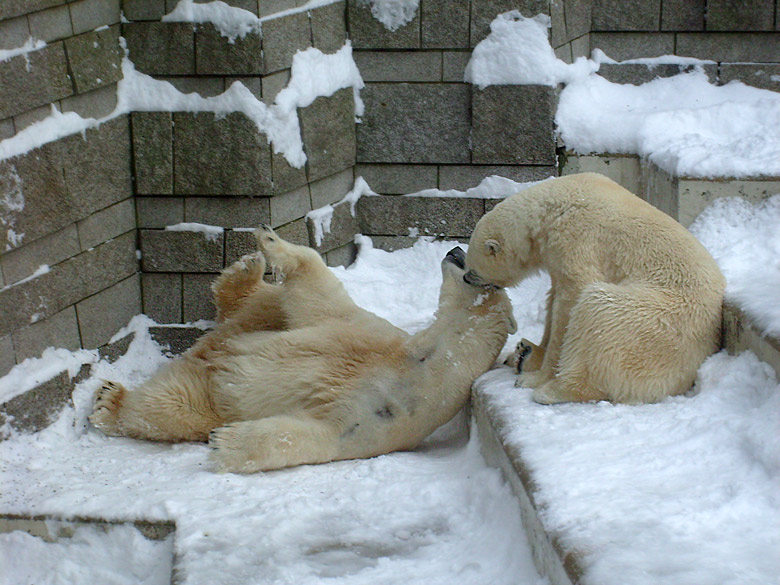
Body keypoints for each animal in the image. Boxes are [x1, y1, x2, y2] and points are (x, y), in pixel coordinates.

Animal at [90, 226, 516, 472]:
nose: (456, 248)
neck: (426, 363)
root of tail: (204, 350)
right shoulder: (365, 331)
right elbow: (319, 297)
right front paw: (269, 239)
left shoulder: (385, 416)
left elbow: (312, 436)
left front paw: (224, 442)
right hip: (257, 322)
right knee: (261, 304)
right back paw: (246, 269)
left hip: (204, 393)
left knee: (167, 406)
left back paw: (109, 402)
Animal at [464, 171, 724, 404]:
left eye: (473, 268)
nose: (466, 278)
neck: (550, 211)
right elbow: (553, 297)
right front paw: (528, 353)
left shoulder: (577, 239)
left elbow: (572, 298)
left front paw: (535, 378)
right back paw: (524, 354)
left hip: (659, 322)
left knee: (598, 311)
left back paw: (552, 390)